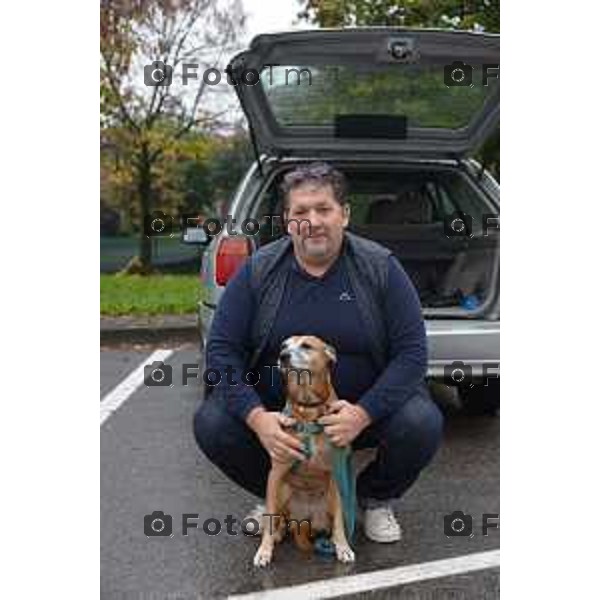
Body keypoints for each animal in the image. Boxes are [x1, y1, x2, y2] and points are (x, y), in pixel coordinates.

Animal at [253, 338, 356, 568]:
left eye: (307, 346)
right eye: (283, 346)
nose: (283, 356)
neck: (307, 407)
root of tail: (304, 520)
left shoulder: (336, 475)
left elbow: (339, 521)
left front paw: (343, 546)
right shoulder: (275, 474)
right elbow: (269, 518)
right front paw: (264, 550)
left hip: (331, 498)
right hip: (282, 492)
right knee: (279, 519)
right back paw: (278, 533)